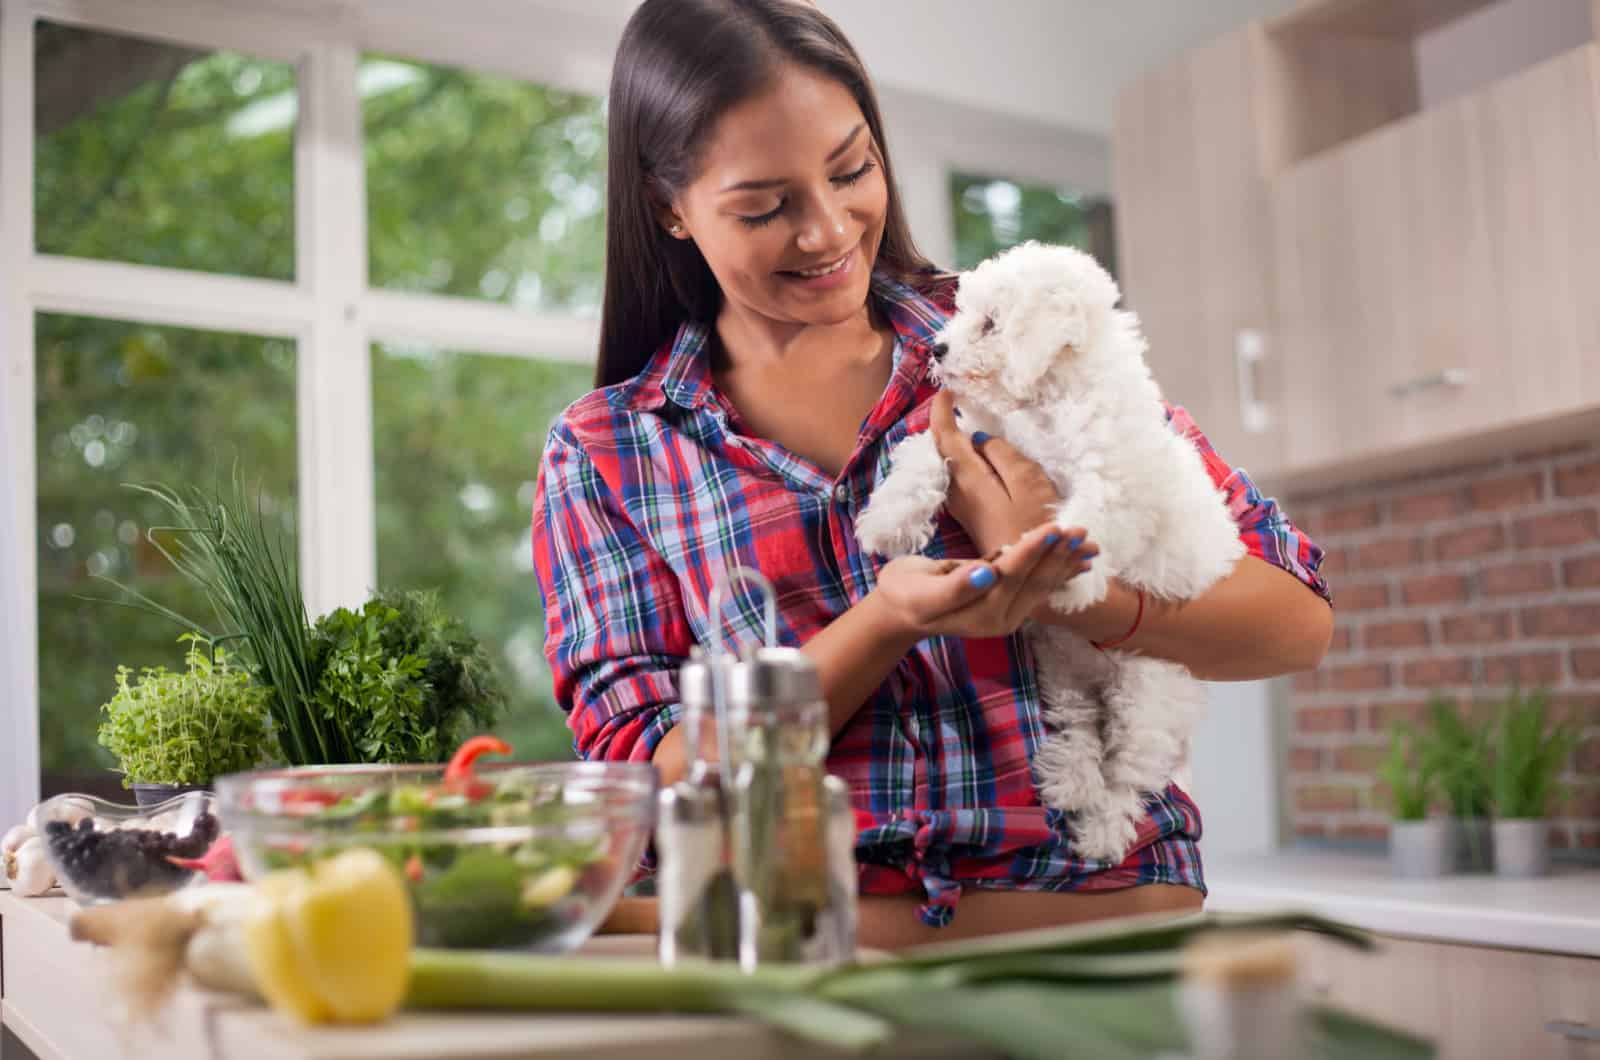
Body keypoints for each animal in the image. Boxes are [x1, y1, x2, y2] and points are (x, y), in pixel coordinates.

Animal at [857, 244, 1241, 871]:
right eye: (961, 311)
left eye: (989, 323)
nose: (937, 348)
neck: (1046, 401)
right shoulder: (978, 436)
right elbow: (925, 454)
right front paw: (890, 518)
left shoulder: (1111, 477)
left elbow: (1089, 516)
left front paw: (1062, 570)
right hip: (1060, 668)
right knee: (1078, 724)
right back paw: (1070, 780)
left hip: (1149, 693)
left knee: (1127, 772)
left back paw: (1102, 831)